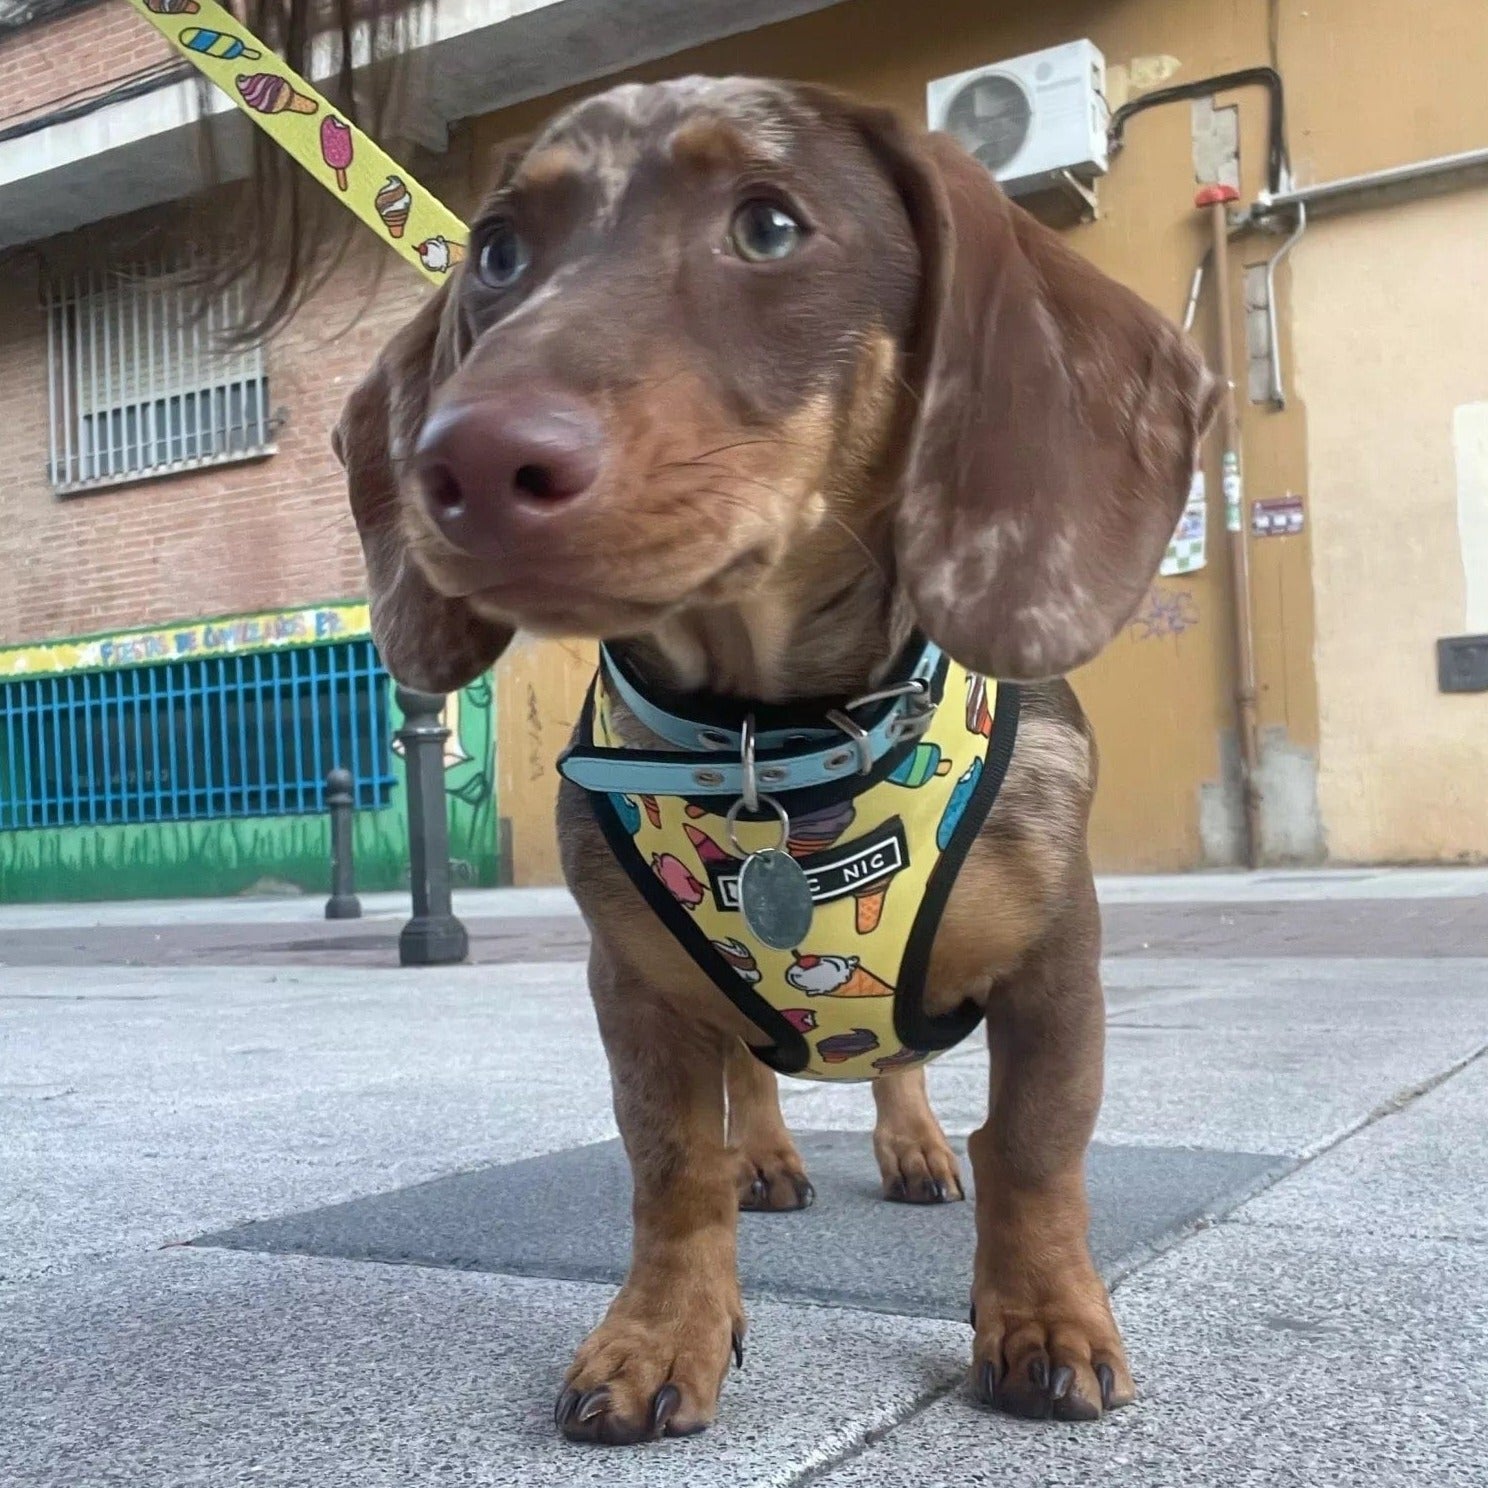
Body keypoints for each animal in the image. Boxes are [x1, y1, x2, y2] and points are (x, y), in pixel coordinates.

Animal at [337, 78, 1220, 1440]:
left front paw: (1046, 1320)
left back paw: (914, 1146)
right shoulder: (634, 989)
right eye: (496, 253)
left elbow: (1032, 1145)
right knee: (752, 1085)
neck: (776, 741)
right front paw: (660, 1334)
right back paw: (768, 1152)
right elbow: (672, 1165)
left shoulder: (1056, 961)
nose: (466, 461)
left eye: (767, 227)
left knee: (900, 1068)